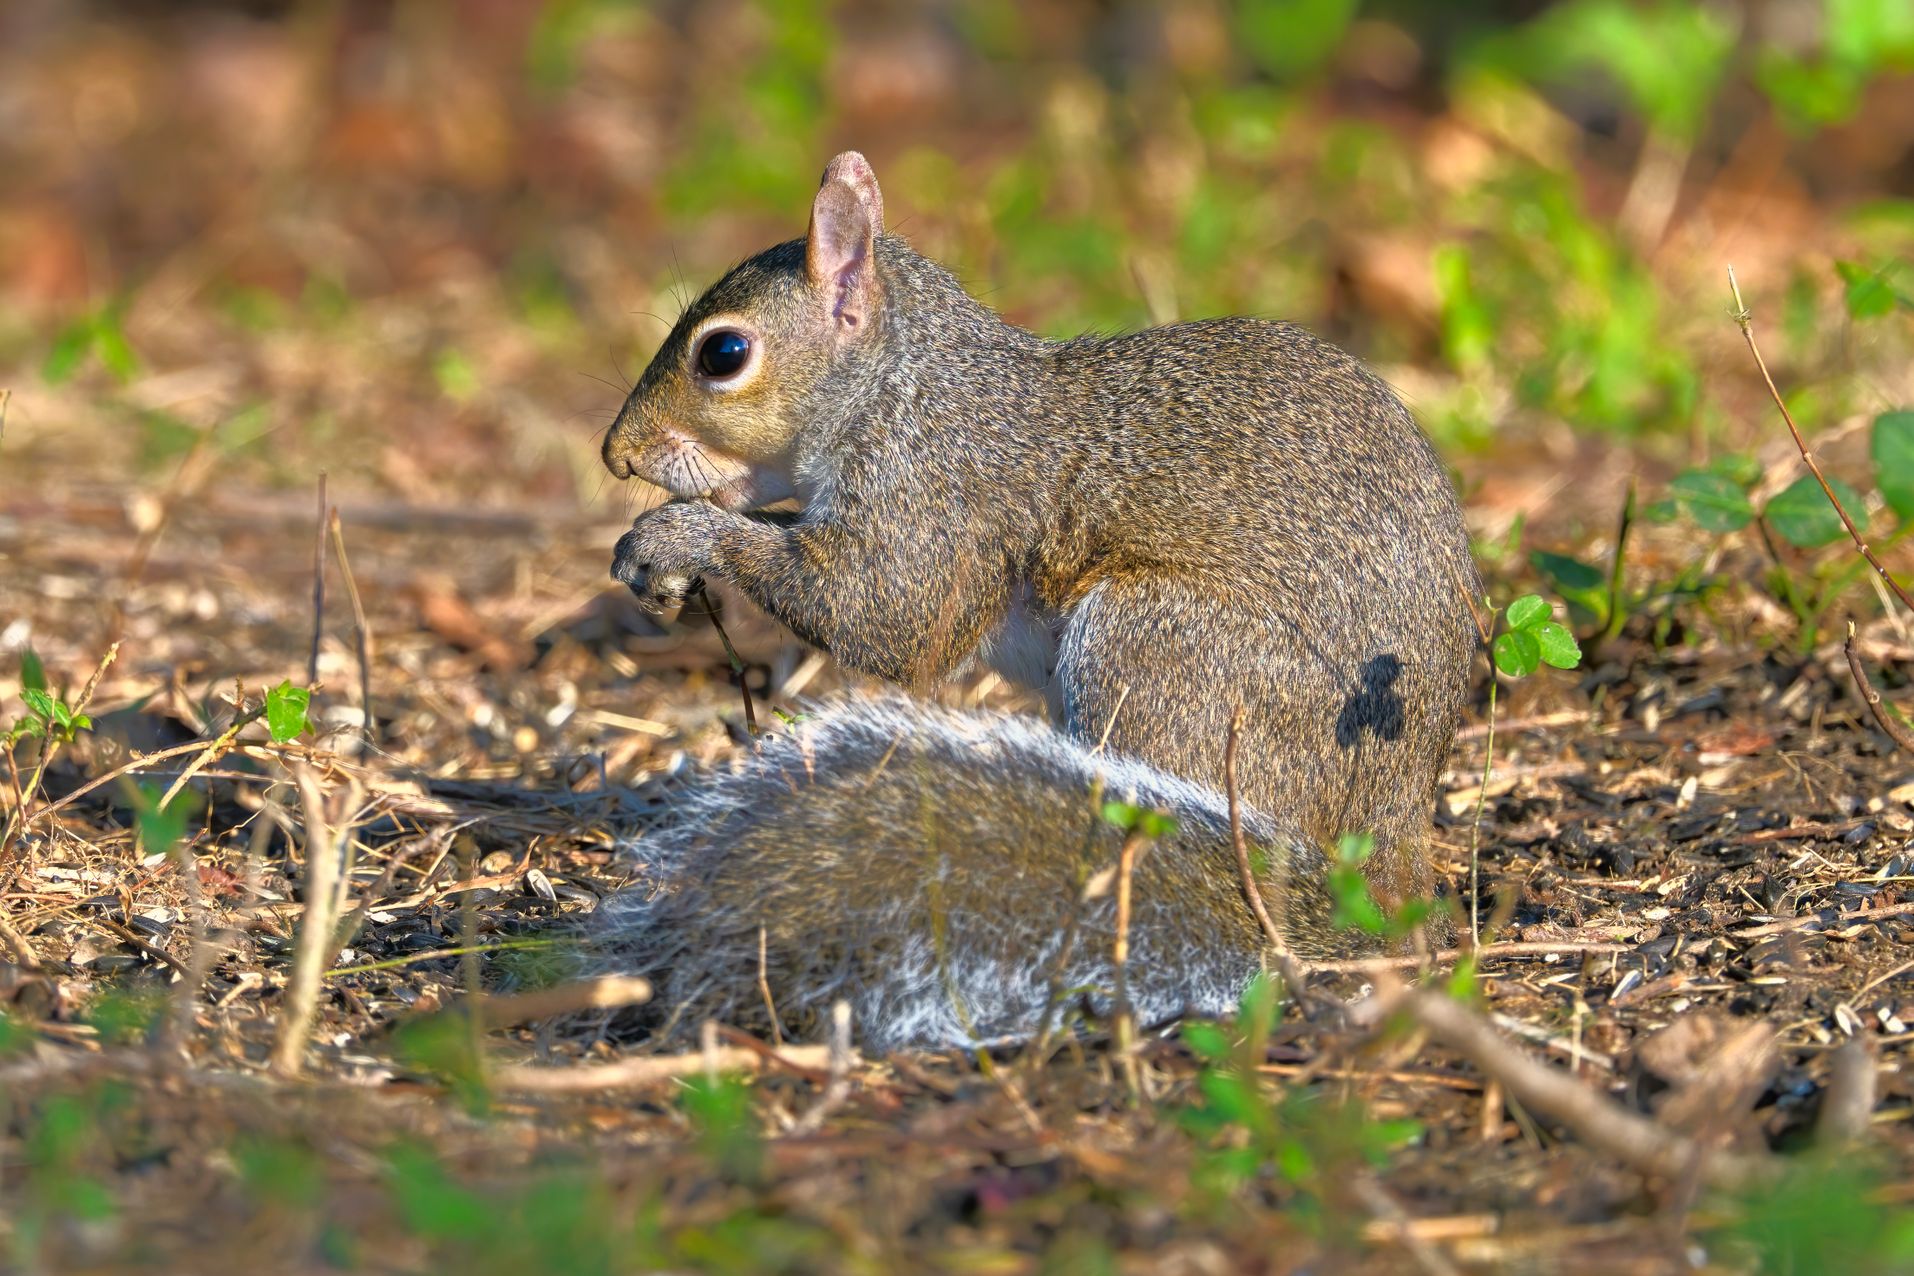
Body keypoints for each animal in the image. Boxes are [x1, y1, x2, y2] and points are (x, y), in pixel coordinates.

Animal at [597, 152, 1479, 1045]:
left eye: (724, 353)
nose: (616, 453)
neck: (902, 387)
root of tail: (1389, 846)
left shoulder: (937, 493)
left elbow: (885, 614)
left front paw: (679, 536)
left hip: (1158, 650)